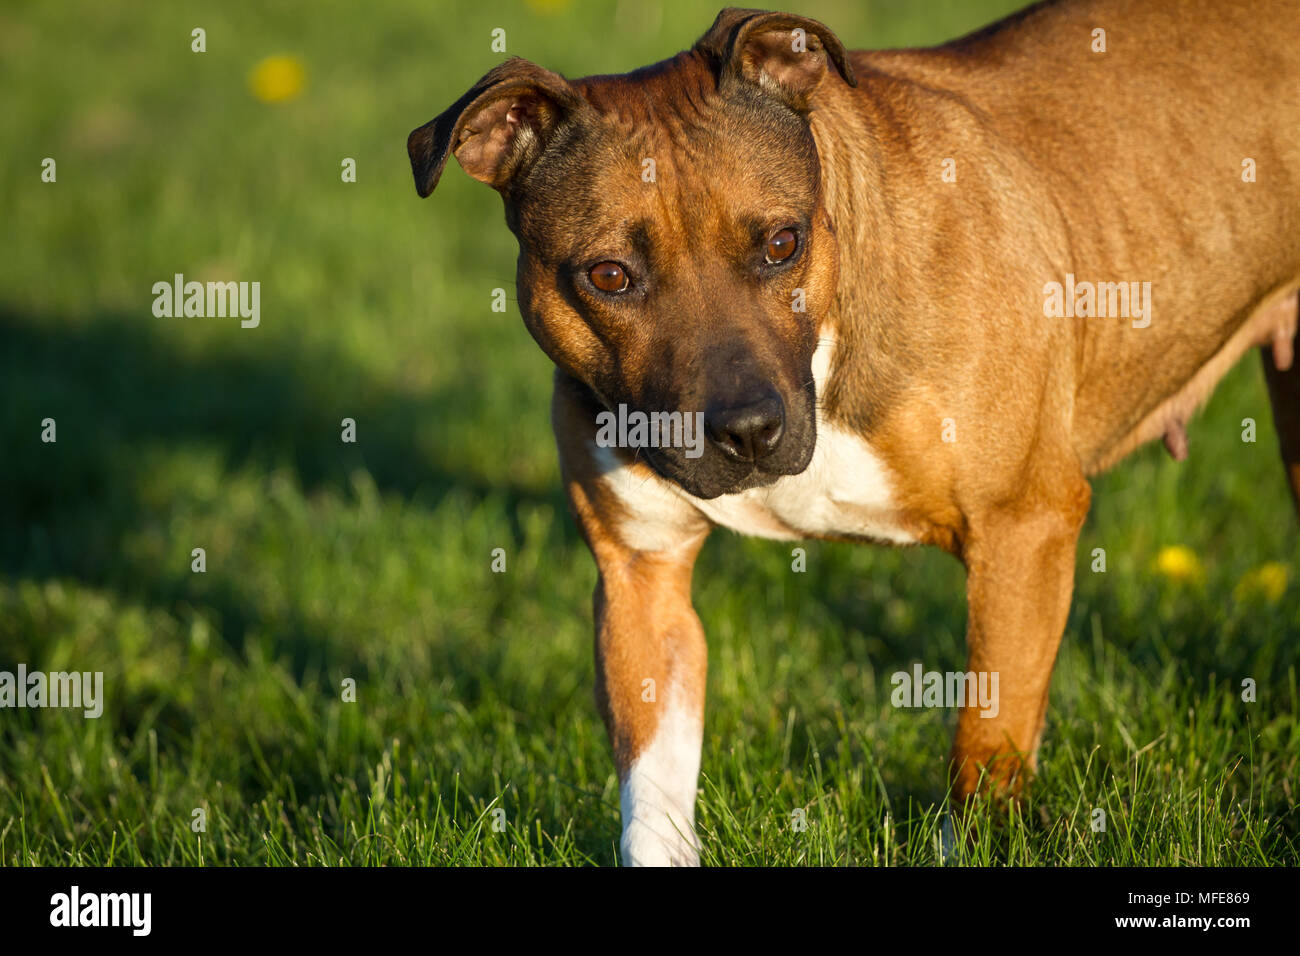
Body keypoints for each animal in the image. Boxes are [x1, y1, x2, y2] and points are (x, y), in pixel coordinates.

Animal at [410, 1, 1300, 868]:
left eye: (782, 243)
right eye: (608, 276)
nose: (749, 430)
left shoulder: (1023, 529)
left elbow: (988, 736)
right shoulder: (641, 572)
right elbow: (652, 795)